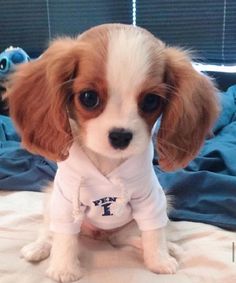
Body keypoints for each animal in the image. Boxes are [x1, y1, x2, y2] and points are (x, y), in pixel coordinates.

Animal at [6, 23, 218, 282]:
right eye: (89, 97)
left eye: (150, 101)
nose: (120, 136)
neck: (108, 162)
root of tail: (101, 235)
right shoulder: (65, 203)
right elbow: (64, 237)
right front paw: (64, 268)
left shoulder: (151, 200)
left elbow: (154, 232)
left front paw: (159, 259)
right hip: (51, 199)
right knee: (49, 230)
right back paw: (39, 247)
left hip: (142, 218)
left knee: (130, 237)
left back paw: (168, 247)